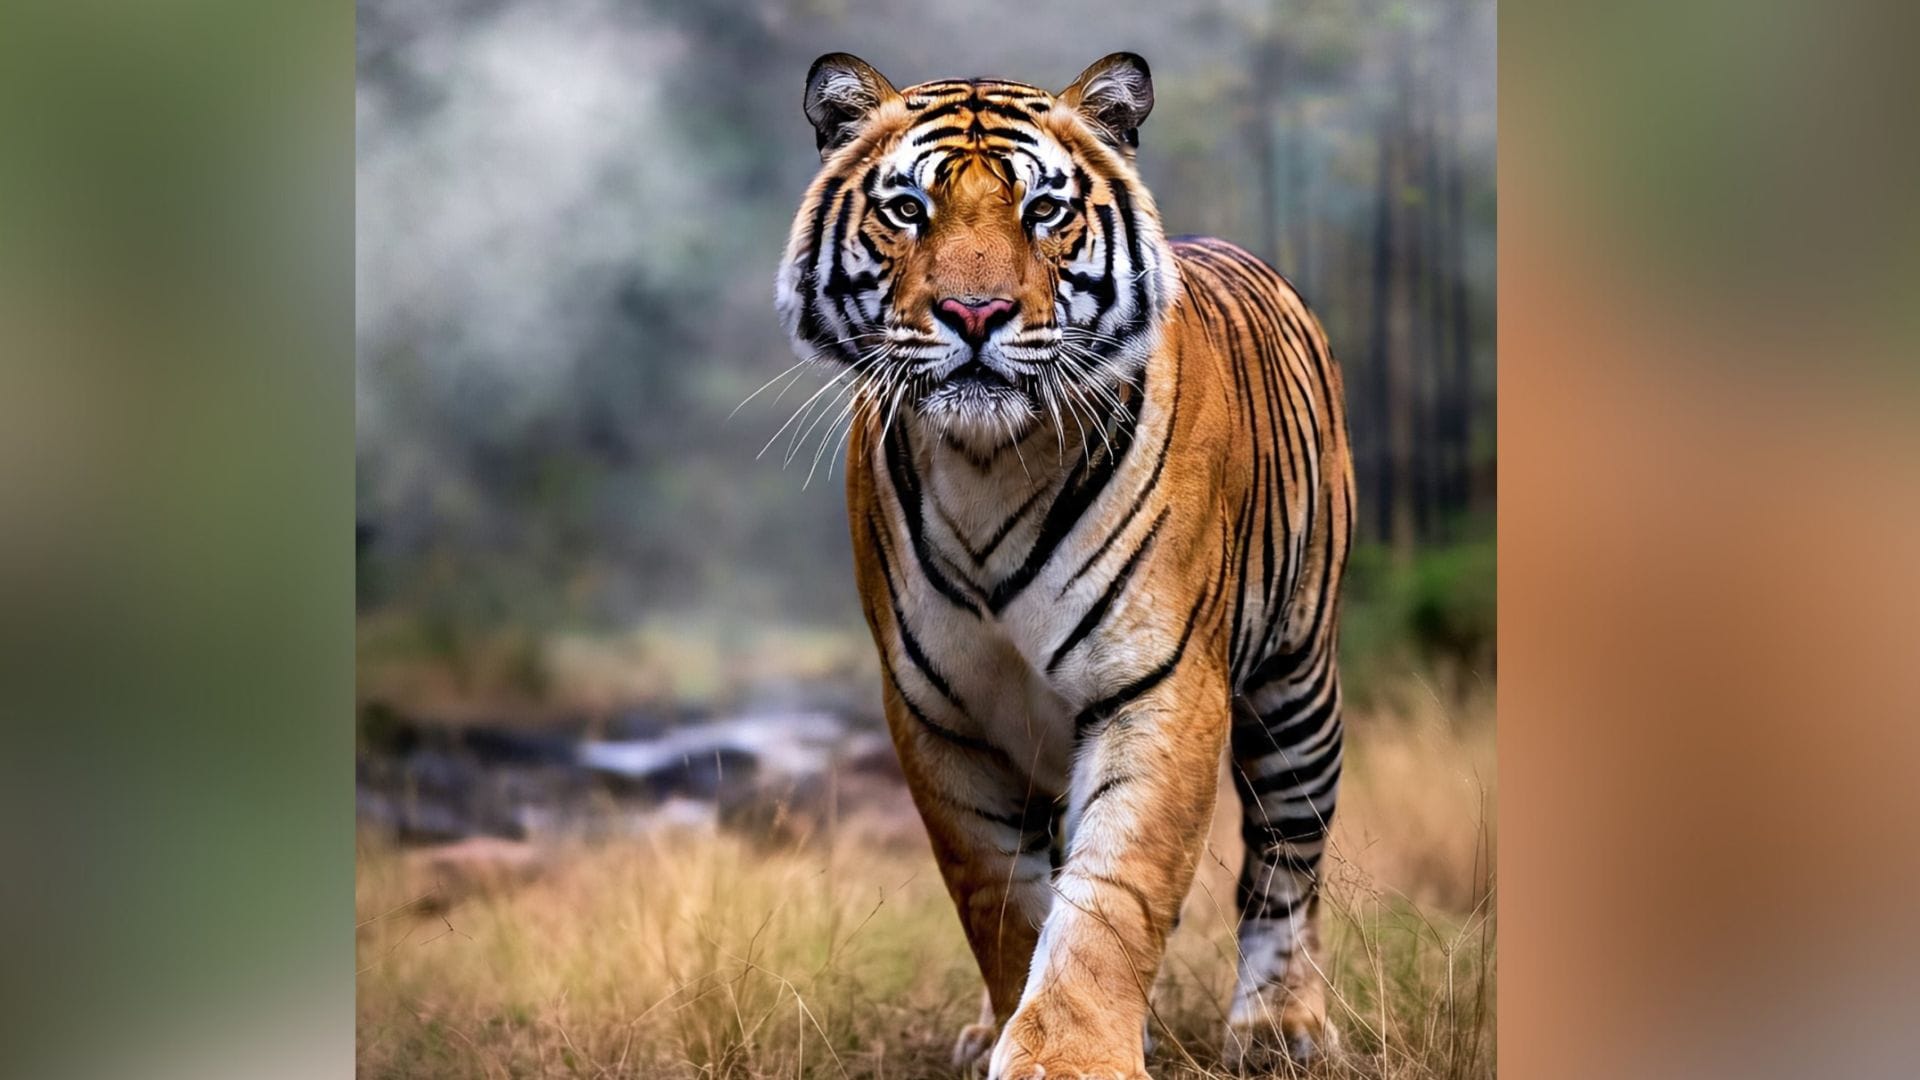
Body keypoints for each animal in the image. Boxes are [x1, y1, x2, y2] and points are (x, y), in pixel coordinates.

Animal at [775, 51, 1354, 1079]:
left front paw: (1073, 1054)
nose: (974, 312)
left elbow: (1116, 893)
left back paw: (1279, 1028)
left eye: (1043, 210)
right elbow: (1002, 902)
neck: (986, 465)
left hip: (1298, 687)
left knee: (1285, 864)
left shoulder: (1159, 687)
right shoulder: (939, 716)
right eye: (908, 210)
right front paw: (1022, 1024)